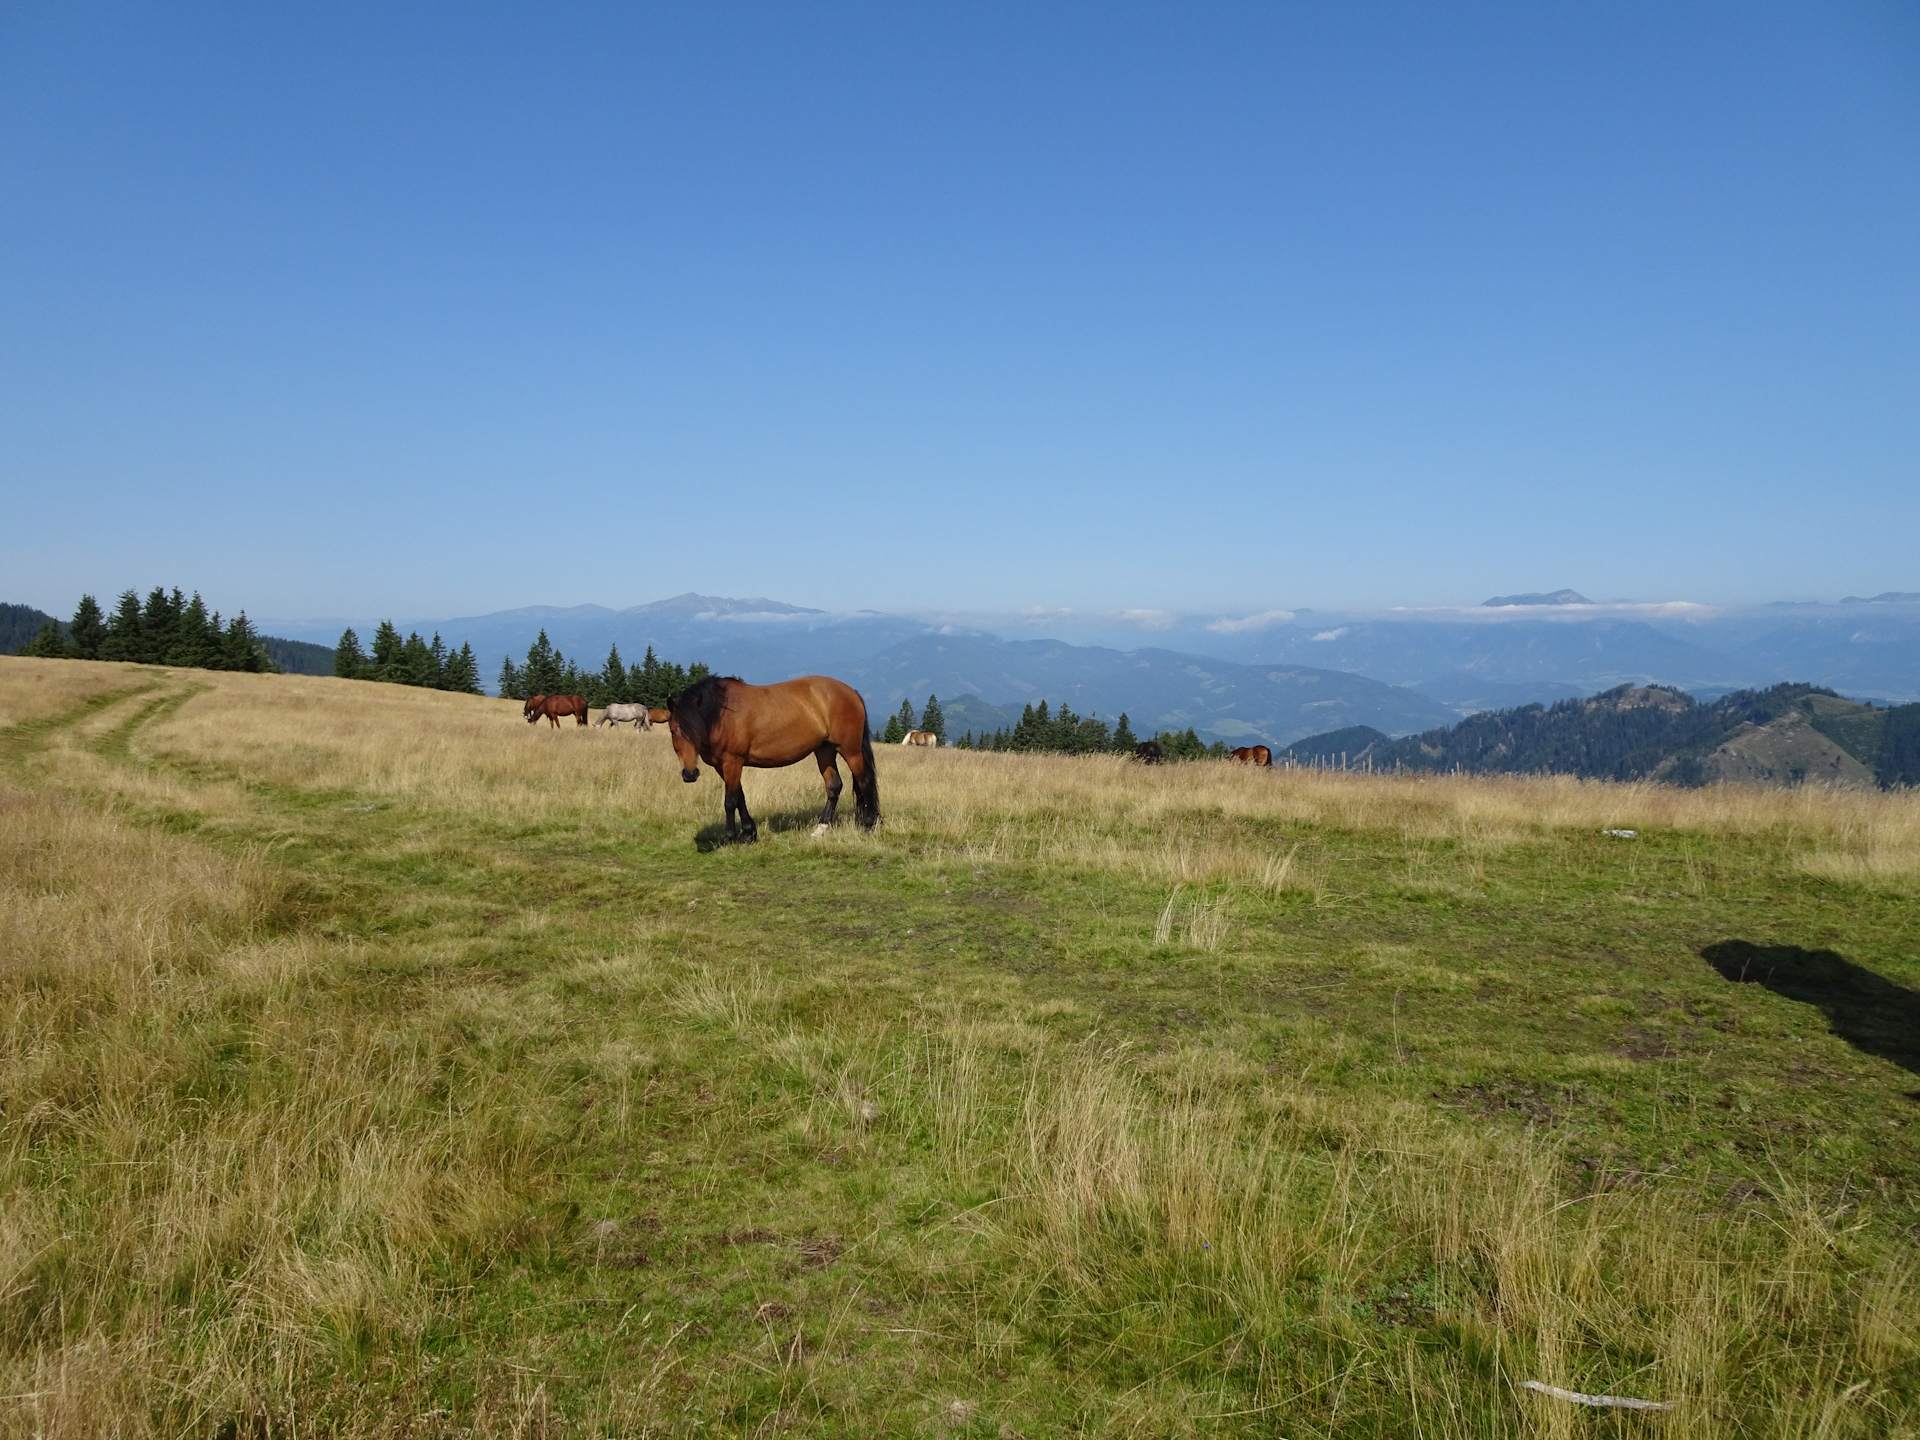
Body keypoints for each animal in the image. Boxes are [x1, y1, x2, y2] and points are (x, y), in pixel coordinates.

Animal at [667, 675, 879, 843]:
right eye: (673, 731)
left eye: (695, 729)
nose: (690, 774)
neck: (722, 715)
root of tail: (851, 692)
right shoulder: (723, 766)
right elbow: (740, 797)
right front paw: (748, 834)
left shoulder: (732, 762)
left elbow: (730, 800)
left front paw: (729, 837)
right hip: (824, 750)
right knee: (834, 785)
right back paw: (821, 829)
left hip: (850, 751)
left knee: (865, 781)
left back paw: (868, 825)